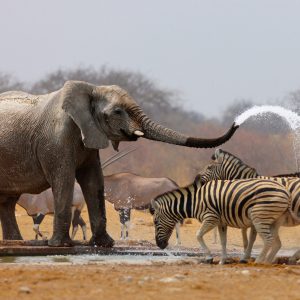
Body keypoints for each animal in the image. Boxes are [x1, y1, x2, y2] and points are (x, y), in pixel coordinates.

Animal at [0, 79, 239, 246]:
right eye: (117, 111)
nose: (236, 123)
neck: (91, 90)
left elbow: (93, 181)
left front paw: (104, 244)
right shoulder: (56, 139)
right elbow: (64, 180)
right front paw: (60, 246)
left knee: (8, 202)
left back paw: (15, 242)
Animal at [151, 177, 298, 264]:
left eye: (155, 222)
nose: (159, 245)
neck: (195, 201)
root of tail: (286, 192)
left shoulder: (211, 218)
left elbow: (198, 235)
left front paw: (209, 257)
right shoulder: (221, 222)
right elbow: (223, 241)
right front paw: (223, 260)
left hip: (258, 217)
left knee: (268, 240)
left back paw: (259, 261)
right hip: (274, 220)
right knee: (276, 242)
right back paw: (268, 261)